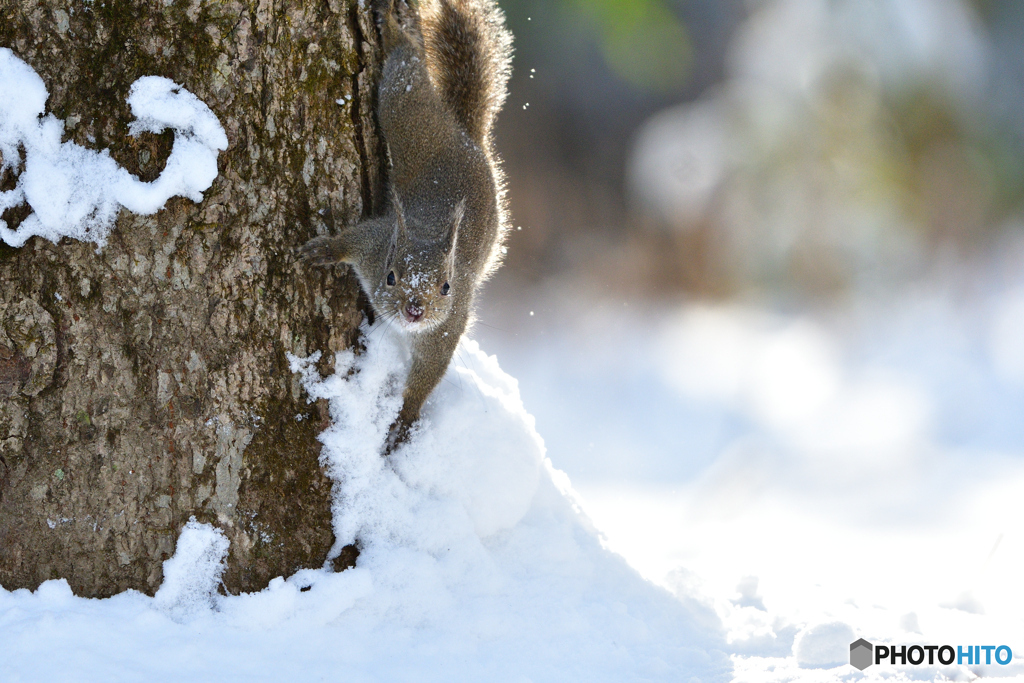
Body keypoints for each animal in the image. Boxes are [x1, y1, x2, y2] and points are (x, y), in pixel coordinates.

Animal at [301, 0, 512, 446]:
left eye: (446, 287)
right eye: (391, 276)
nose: (415, 310)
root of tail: (467, 137)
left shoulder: (447, 328)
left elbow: (427, 377)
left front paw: (404, 419)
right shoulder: (375, 243)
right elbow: (351, 239)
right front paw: (324, 250)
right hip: (410, 119)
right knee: (408, 71)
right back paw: (394, 28)